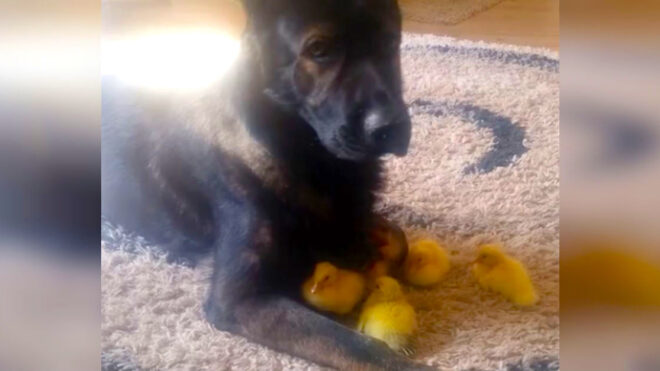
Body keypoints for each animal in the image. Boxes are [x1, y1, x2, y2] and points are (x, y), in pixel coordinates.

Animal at [102, 0, 434, 370]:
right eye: (319, 50)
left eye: (390, 43)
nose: (390, 129)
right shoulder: (239, 301)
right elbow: (360, 348)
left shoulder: (347, 217)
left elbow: (399, 238)